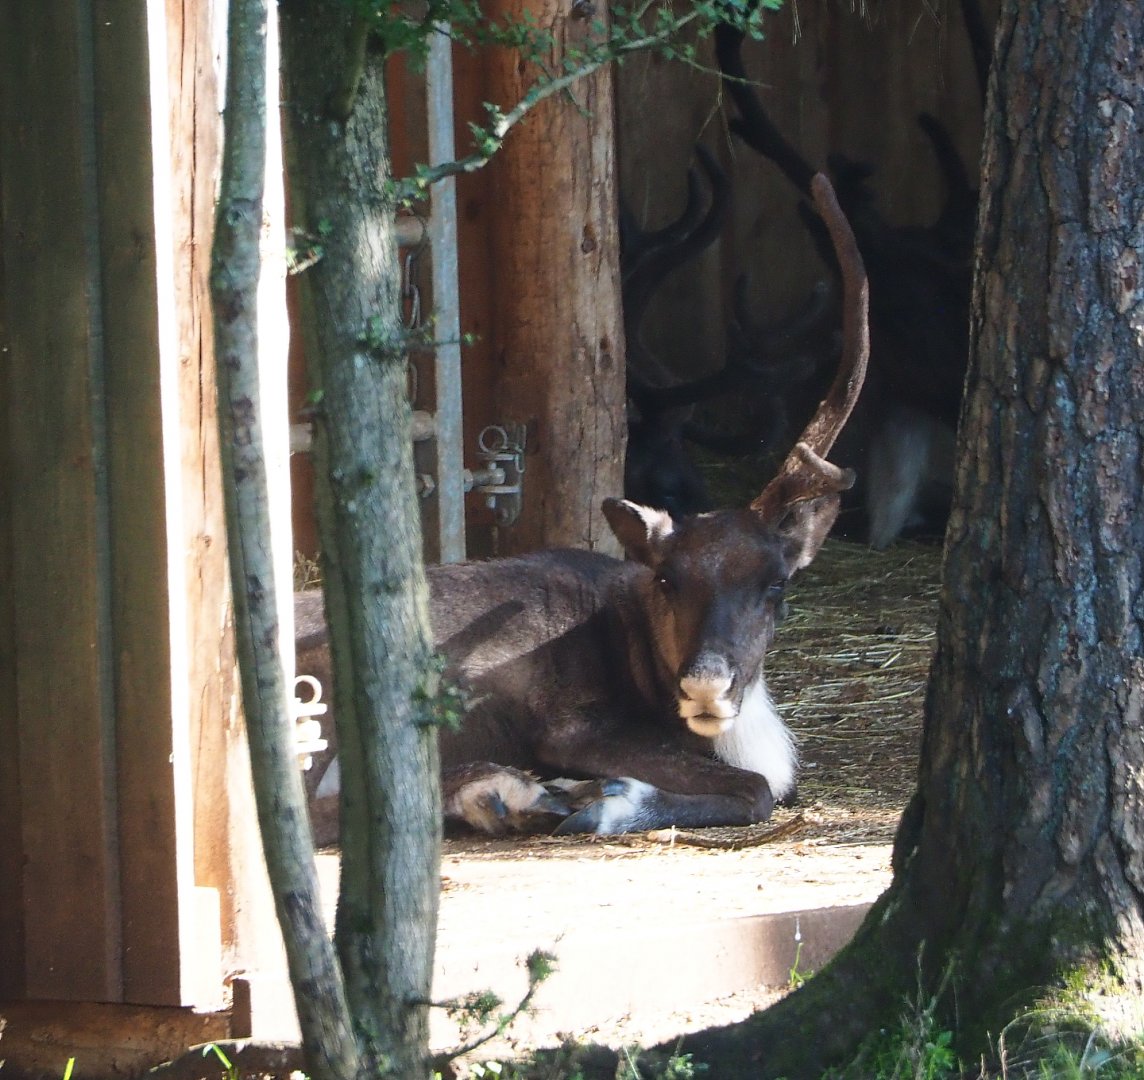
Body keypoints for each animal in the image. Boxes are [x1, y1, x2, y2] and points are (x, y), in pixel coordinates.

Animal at [297, 173, 867, 838]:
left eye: (777, 584)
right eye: (667, 578)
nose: (705, 687)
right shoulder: (574, 728)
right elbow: (755, 789)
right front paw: (602, 798)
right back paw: (506, 790)